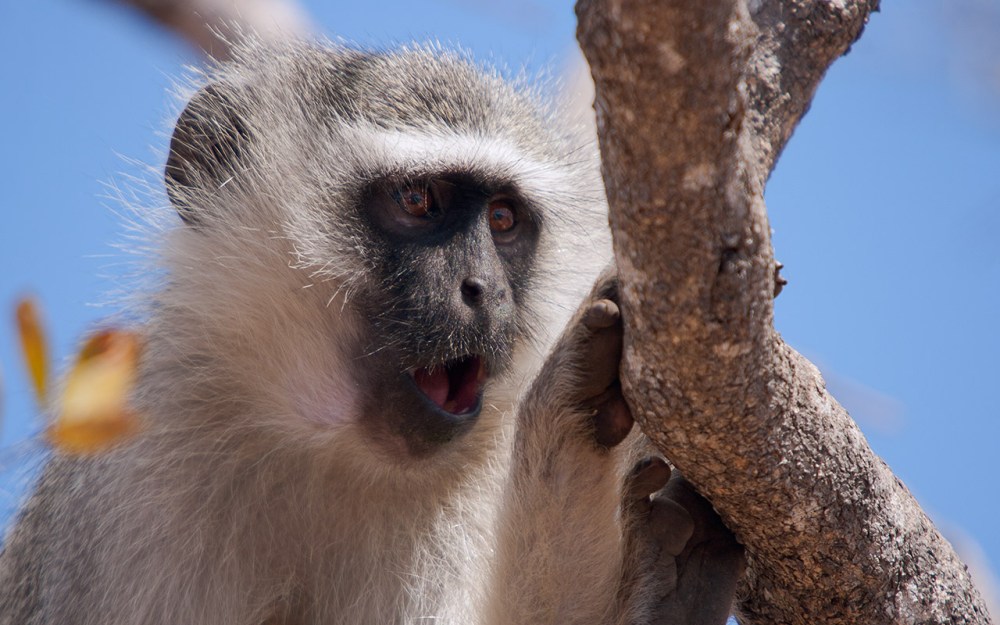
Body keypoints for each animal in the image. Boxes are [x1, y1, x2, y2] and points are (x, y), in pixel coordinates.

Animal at [0, 40, 743, 625]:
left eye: (503, 220)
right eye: (419, 201)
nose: (485, 290)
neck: (328, 451)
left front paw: (571, 439)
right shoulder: (127, 482)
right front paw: (569, 419)